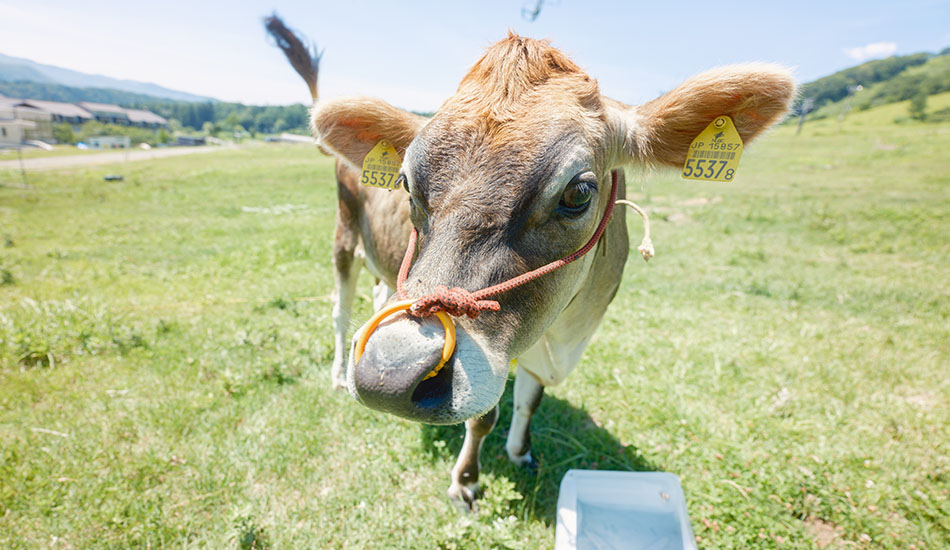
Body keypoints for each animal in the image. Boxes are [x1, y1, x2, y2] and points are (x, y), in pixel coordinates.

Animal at [310, 33, 796, 512]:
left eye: (579, 192)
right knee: (339, 312)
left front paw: (520, 452)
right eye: (407, 183)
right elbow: (485, 416)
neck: (563, 333)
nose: (389, 370)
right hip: (343, 240)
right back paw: (335, 374)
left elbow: (530, 400)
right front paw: (466, 484)